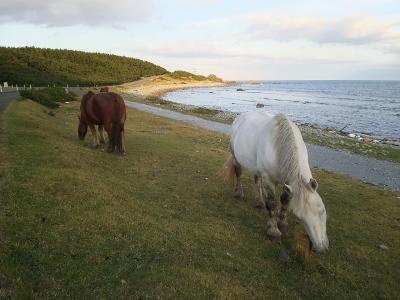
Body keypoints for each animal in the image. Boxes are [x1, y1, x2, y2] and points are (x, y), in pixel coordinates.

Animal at [225, 111, 328, 252]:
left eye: (322, 211)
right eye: (300, 217)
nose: (321, 247)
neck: (278, 145)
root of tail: (240, 116)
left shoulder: (287, 184)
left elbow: (285, 200)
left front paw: (282, 223)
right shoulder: (269, 180)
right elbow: (272, 203)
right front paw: (273, 230)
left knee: (257, 180)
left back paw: (259, 201)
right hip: (235, 157)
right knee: (238, 173)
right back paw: (238, 193)